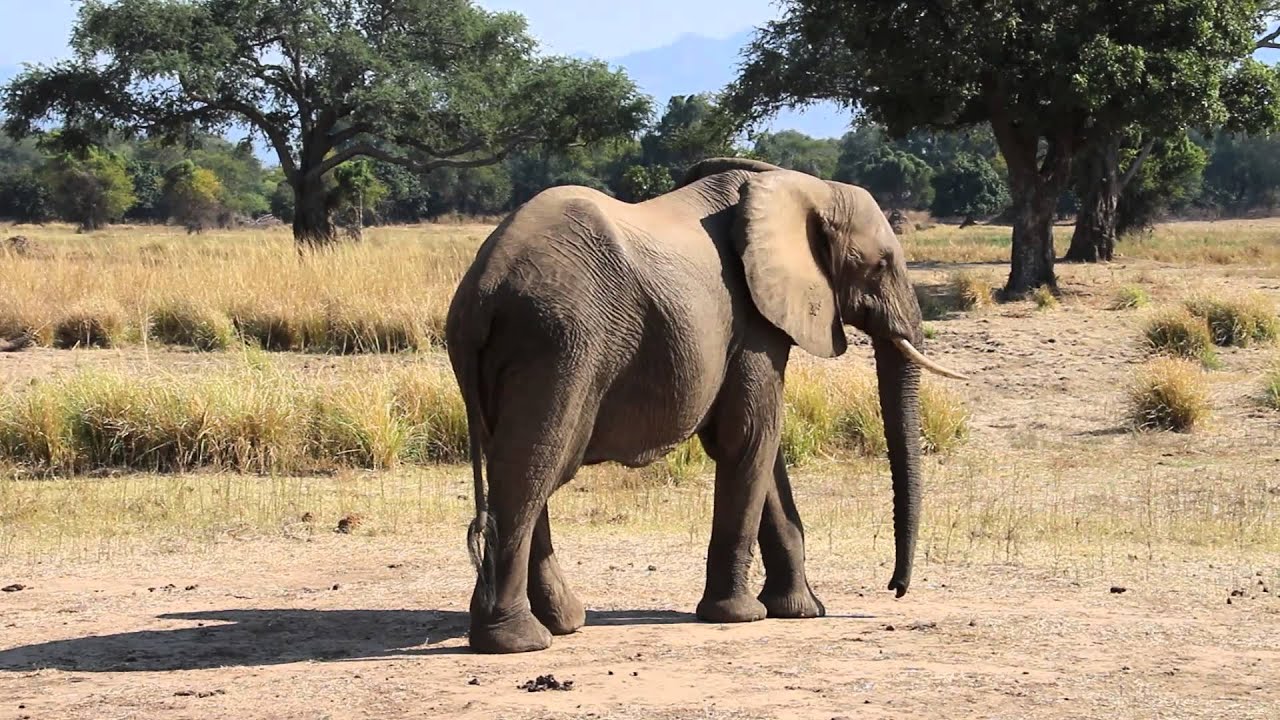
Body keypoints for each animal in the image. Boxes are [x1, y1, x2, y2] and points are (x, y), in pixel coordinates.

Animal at [444, 156, 968, 654]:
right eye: (880, 265)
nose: (895, 589)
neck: (802, 185)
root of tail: (483, 289)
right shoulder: (753, 319)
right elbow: (750, 436)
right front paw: (741, 616)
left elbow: (764, 451)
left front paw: (801, 611)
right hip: (560, 344)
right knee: (532, 470)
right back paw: (519, 641)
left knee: (522, 468)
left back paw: (562, 623)